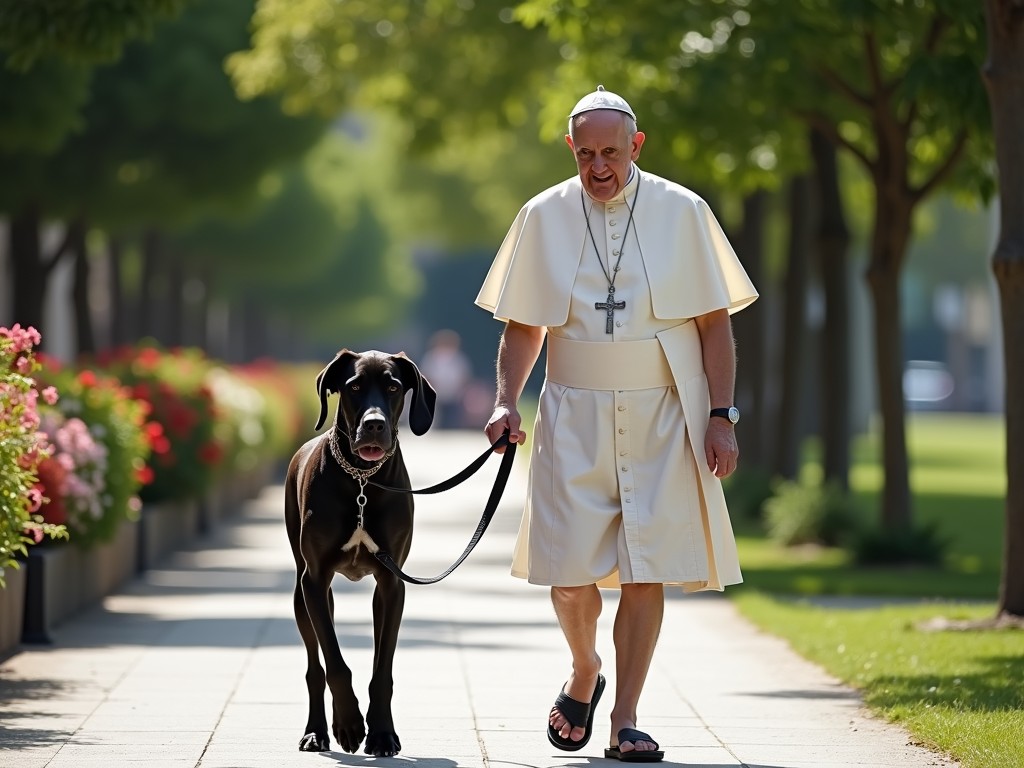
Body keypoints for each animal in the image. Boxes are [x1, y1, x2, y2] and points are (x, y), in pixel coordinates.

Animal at [284, 350, 436, 757]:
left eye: (393, 387)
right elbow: (335, 663)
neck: (362, 480)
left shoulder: (392, 582)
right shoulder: (315, 579)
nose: (374, 425)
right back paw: (316, 731)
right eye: (353, 387)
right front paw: (350, 724)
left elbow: (382, 669)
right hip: (302, 594)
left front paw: (381, 733)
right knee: (315, 665)